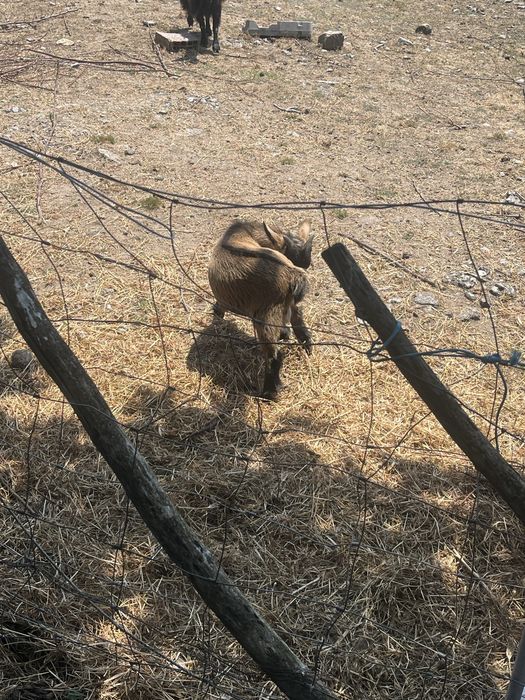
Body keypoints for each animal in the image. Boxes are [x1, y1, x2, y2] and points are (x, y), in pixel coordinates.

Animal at [208, 219, 314, 399]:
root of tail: (291, 274)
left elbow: (218, 309)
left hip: (266, 314)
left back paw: (266, 393)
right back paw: (307, 346)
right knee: (297, 319)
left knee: (273, 355)